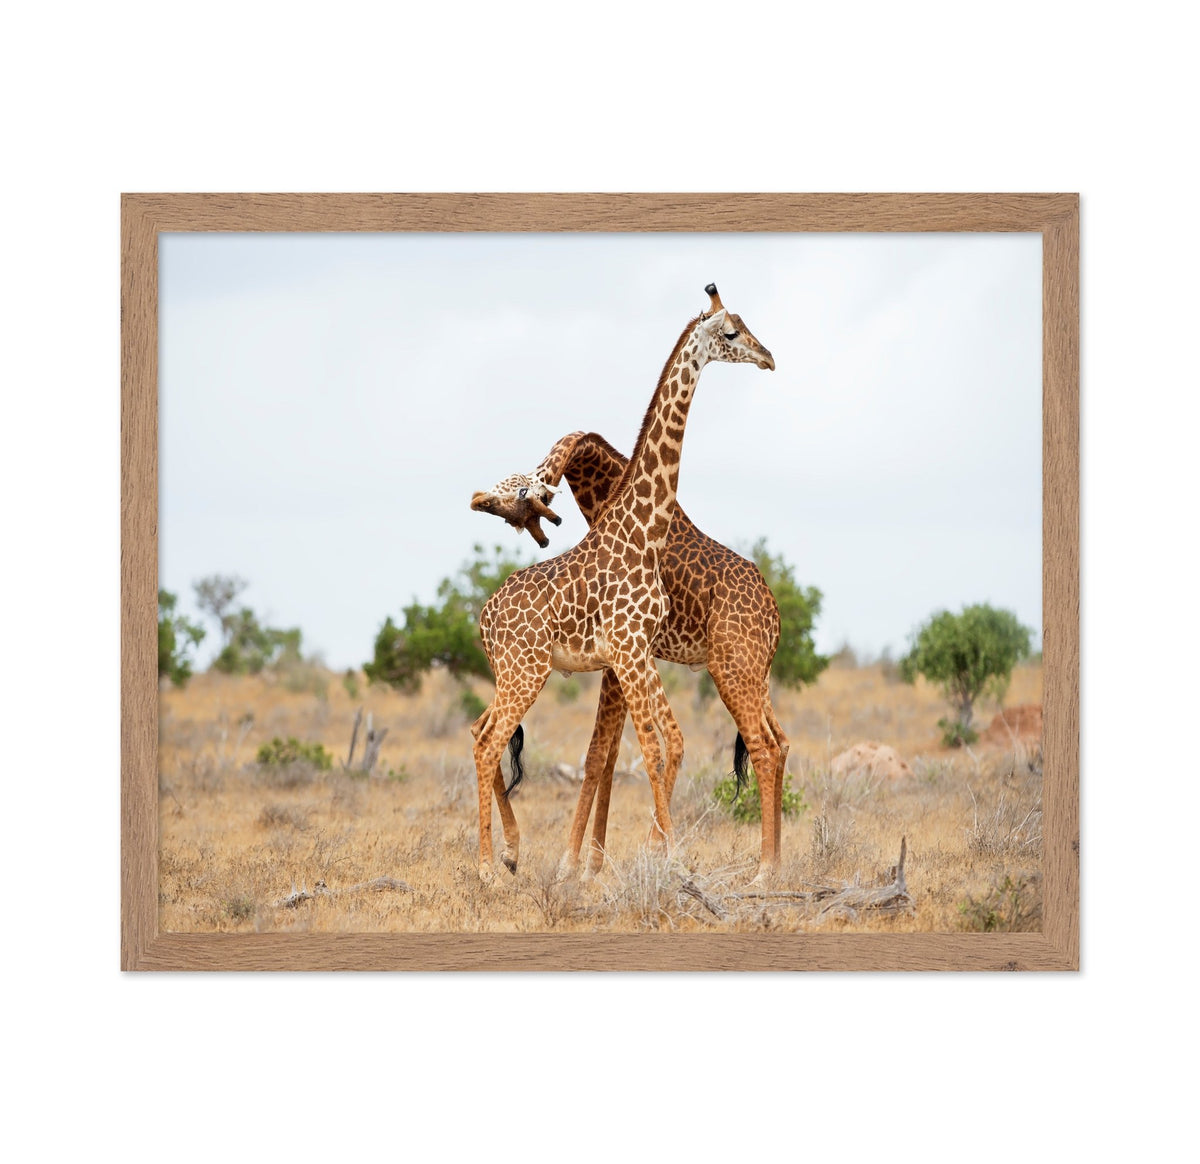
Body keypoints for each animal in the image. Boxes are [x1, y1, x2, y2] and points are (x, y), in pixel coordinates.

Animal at [469, 284, 774, 879]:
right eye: (731, 332)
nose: (769, 357)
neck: (643, 530)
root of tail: (484, 617)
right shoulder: (630, 652)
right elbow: (651, 750)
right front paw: (661, 858)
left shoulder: (635, 654)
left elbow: (659, 745)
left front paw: (644, 857)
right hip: (526, 672)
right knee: (489, 741)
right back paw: (490, 866)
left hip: (522, 673)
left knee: (481, 733)